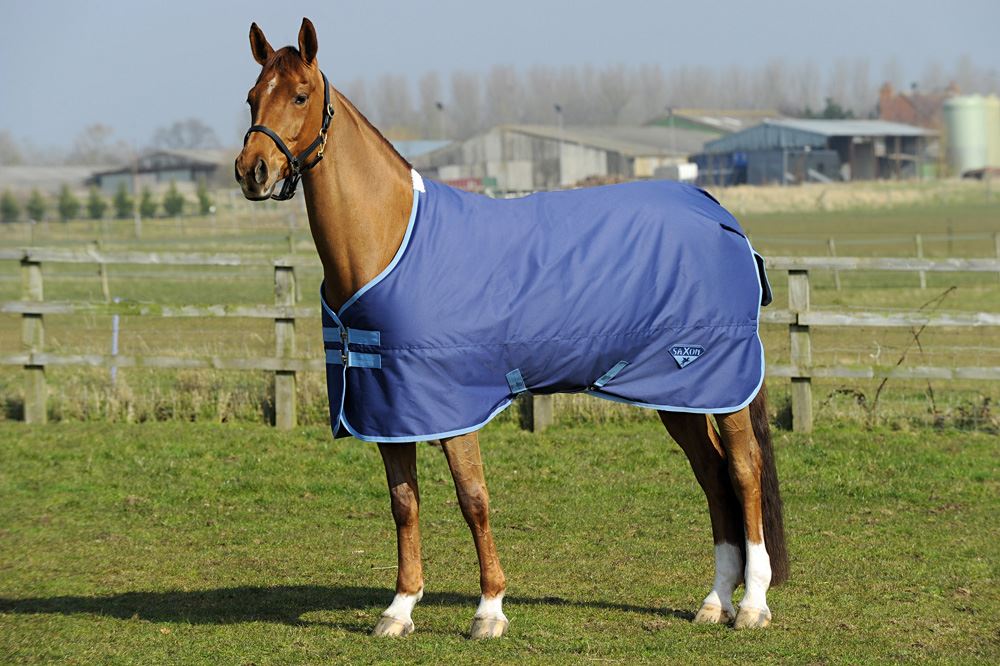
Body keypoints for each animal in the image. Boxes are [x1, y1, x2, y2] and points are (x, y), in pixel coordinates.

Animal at [235, 18, 787, 638]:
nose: (252, 172)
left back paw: (751, 604)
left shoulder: (453, 405)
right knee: (712, 476)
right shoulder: (390, 409)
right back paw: (715, 601)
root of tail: (718, 212)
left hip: (719, 384)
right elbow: (404, 503)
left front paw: (490, 610)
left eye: (300, 96)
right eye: (252, 97)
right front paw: (399, 609)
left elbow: (473, 498)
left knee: (743, 471)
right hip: (677, 395)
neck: (390, 241)